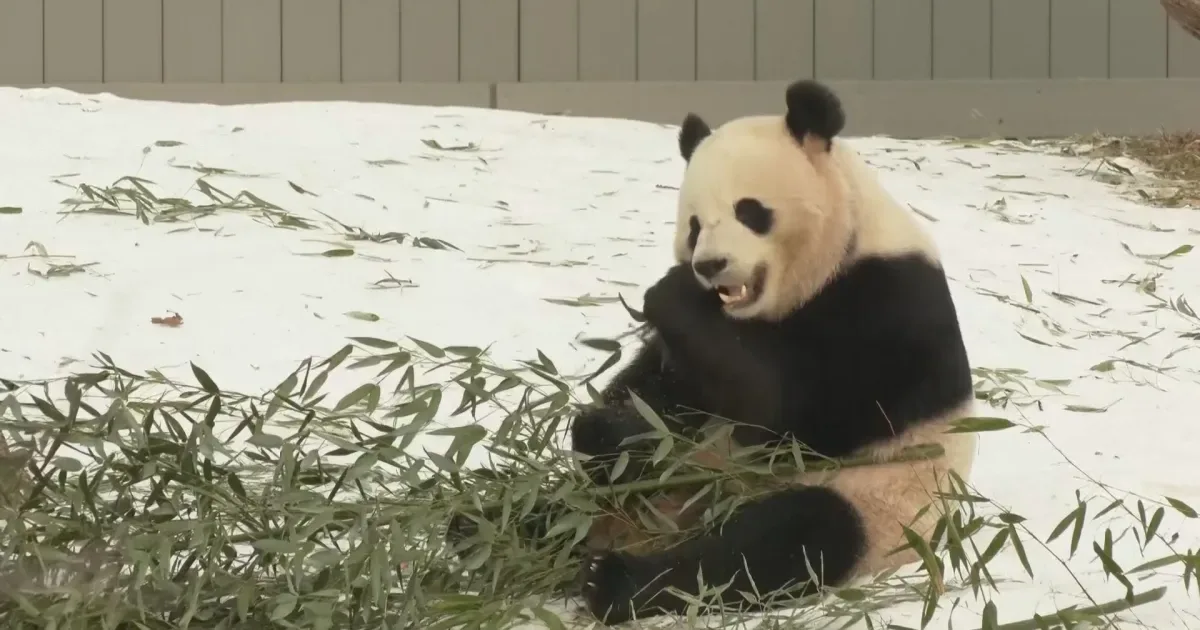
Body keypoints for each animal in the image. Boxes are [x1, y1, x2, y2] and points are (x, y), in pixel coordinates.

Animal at [563, 79, 980, 624]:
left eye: (750, 211)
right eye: (694, 224)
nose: (709, 265)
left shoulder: (890, 303)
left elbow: (794, 414)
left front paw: (672, 294)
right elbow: (662, 392)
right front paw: (607, 429)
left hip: (874, 504)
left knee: (781, 541)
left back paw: (615, 582)